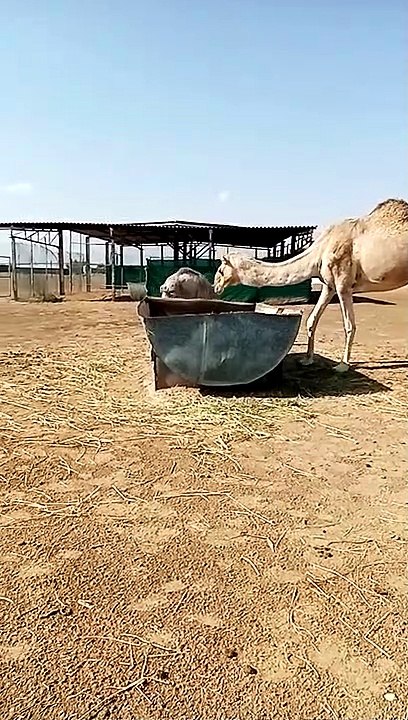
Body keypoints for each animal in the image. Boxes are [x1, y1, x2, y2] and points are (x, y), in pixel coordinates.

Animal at [214, 199, 408, 372]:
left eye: (221, 270)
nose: (216, 286)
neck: (319, 251)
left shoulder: (343, 284)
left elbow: (349, 325)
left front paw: (343, 365)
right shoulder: (329, 285)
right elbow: (311, 320)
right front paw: (307, 360)